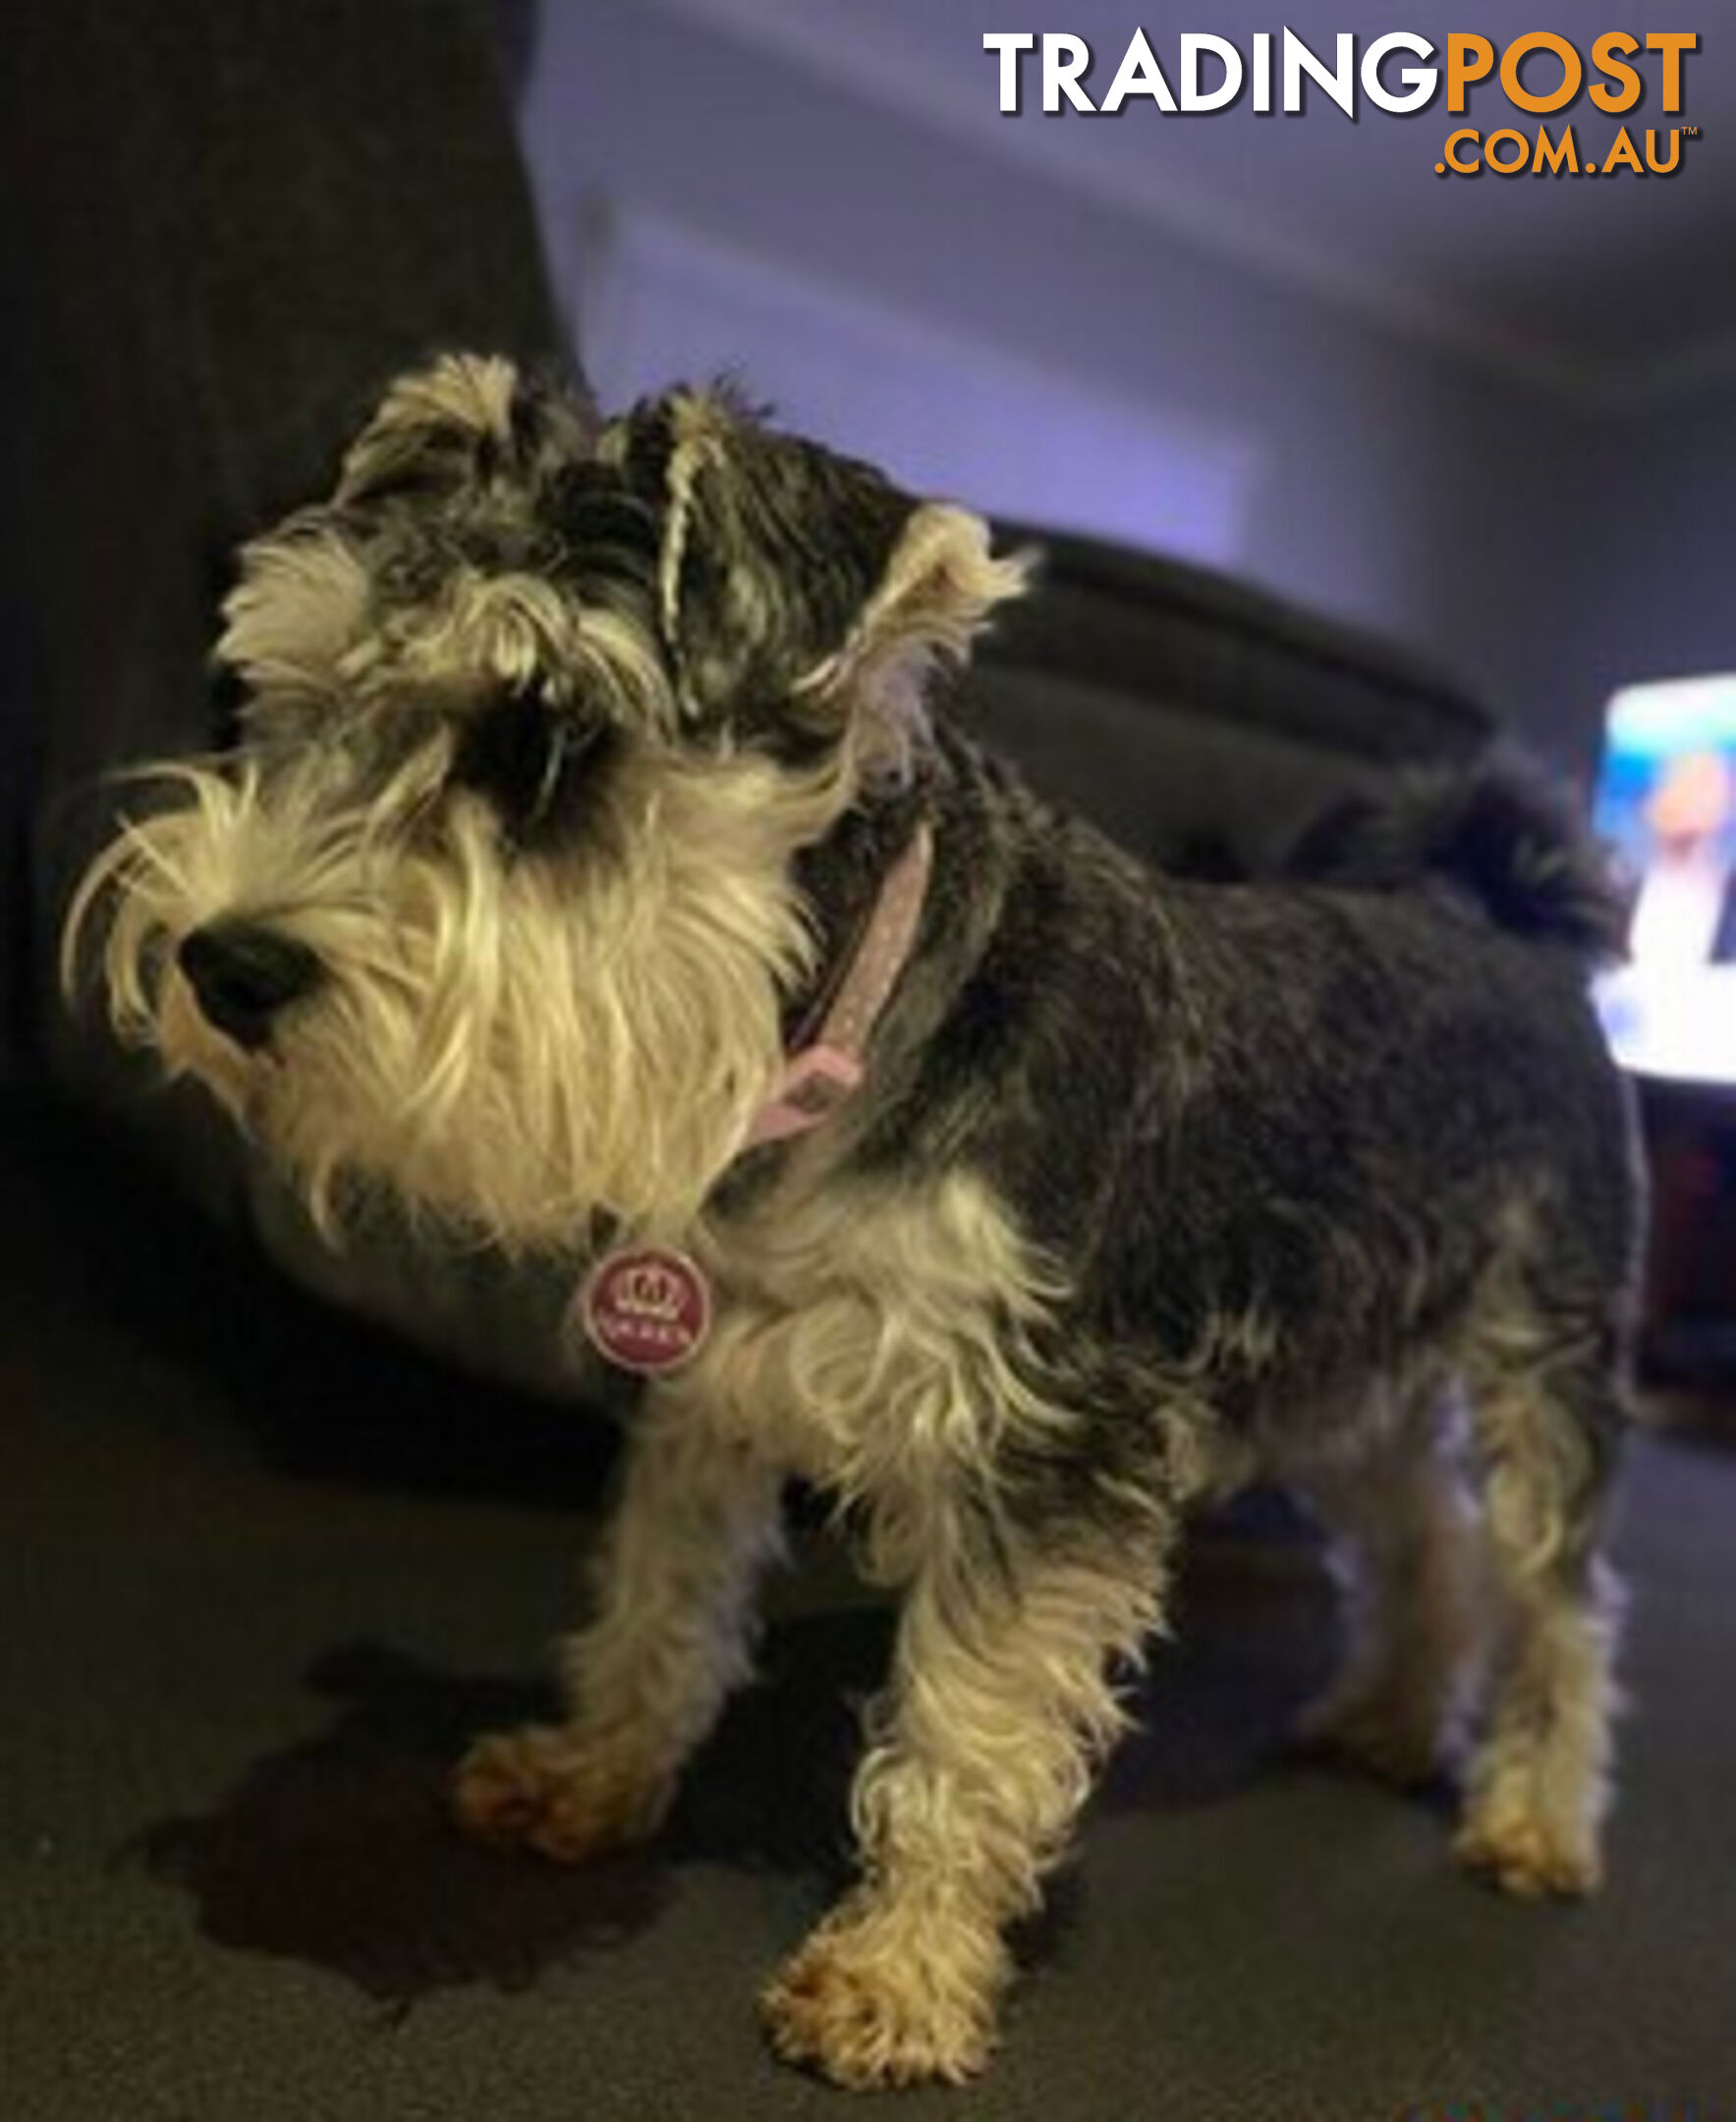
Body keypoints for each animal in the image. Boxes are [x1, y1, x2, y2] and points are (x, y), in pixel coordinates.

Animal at [64, 356, 1638, 2079]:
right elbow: (659, 1599)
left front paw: (897, 1974)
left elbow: (971, 1728)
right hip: (1331, 1374)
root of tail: (1510, 938)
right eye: (290, 692)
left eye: (545, 742)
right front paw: (588, 1775)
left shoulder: (1048, 1451)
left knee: (1558, 1600)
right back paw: (1388, 1716)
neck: (842, 1042)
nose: (224, 963)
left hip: (1539, 1367)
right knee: (1420, 1531)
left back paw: (1530, 1820)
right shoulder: (710, 1377)